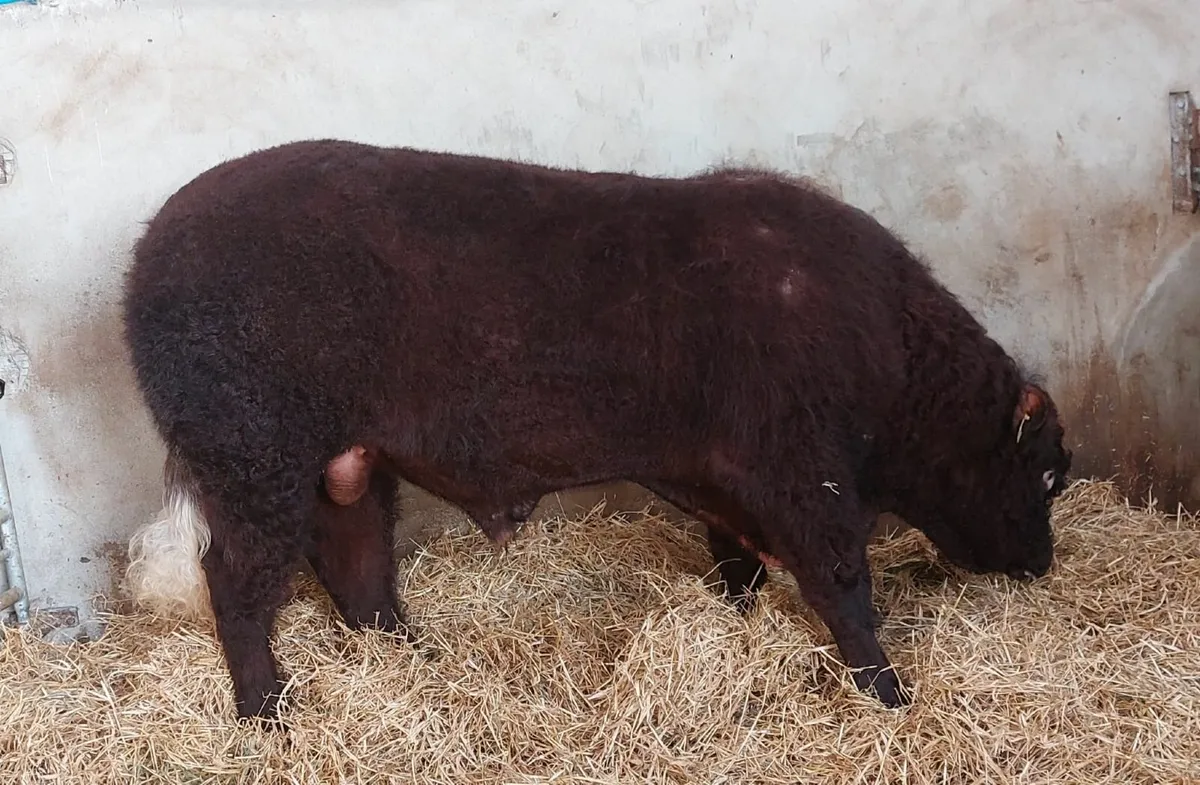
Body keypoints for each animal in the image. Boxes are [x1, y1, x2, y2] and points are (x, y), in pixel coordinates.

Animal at [121, 139, 1072, 724]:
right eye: (1047, 474)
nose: (1043, 562)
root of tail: (152, 248)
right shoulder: (807, 475)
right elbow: (843, 587)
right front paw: (888, 693)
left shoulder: (727, 478)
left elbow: (736, 562)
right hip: (251, 460)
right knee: (237, 583)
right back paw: (268, 712)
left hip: (343, 463)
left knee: (359, 572)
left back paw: (415, 661)